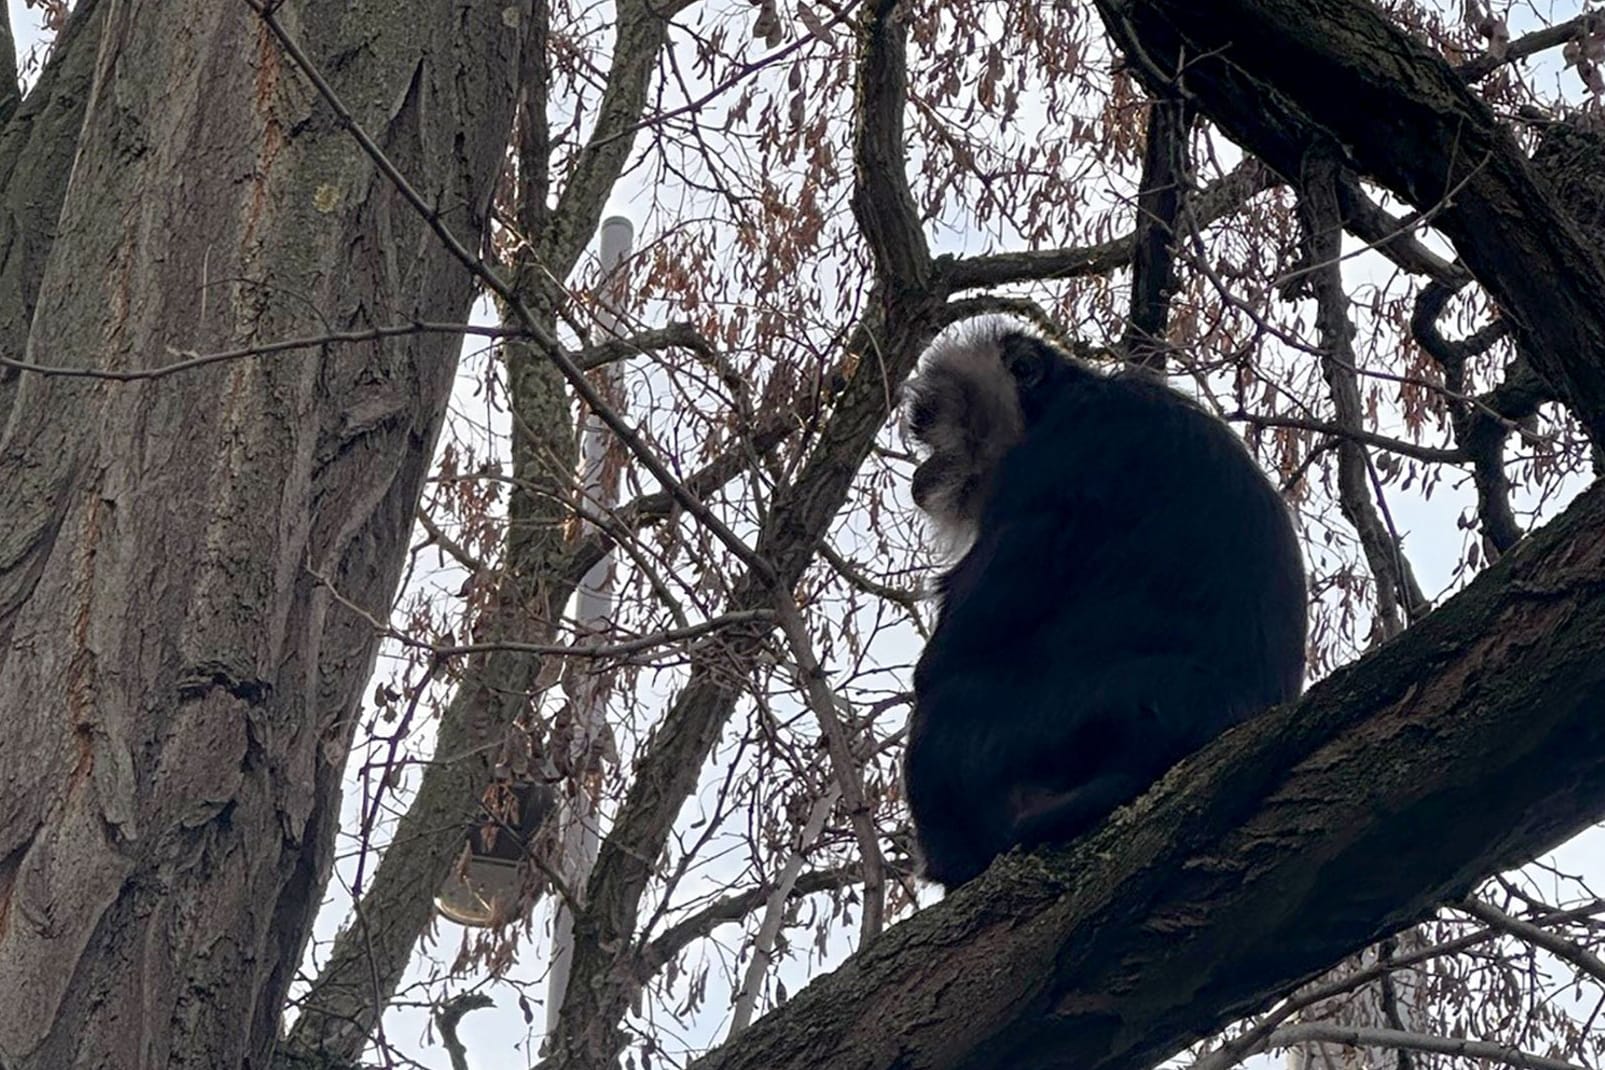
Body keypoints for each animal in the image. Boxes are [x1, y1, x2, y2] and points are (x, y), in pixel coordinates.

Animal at [905, 322, 1303, 891]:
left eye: (936, 423)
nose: (924, 469)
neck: (1060, 401)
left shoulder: (1052, 459)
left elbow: (950, 656)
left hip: (1066, 720)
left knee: (945, 714)